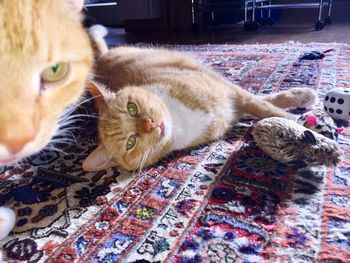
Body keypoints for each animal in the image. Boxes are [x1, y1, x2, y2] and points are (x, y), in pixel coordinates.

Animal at [84, 24, 318, 173]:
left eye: (132, 108)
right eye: (130, 142)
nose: (151, 124)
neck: (180, 121)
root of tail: (102, 59)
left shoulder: (232, 92)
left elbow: (266, 107)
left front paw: (298, 121)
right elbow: (263, 107)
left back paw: (303, 95)